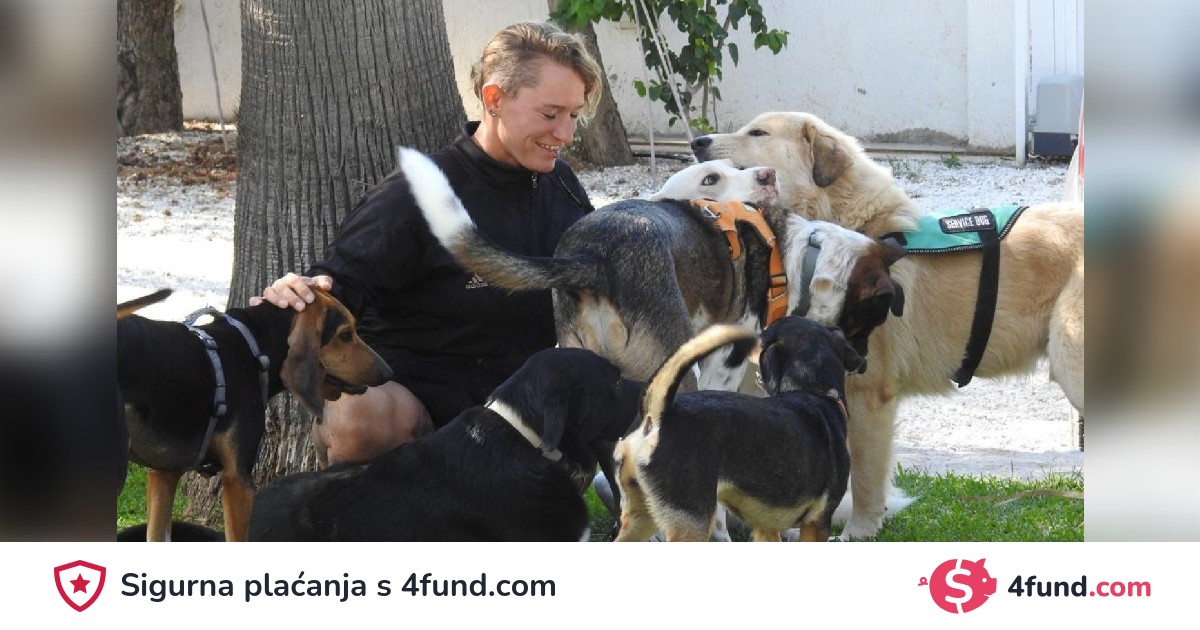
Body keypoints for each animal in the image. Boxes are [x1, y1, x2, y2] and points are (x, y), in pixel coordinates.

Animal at [614, 318, 860, 542]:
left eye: (765, 336)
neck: (817, 392)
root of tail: (659, 415)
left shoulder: (766, 526)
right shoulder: (817, 523)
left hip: (639, 519)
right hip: (690, 524)